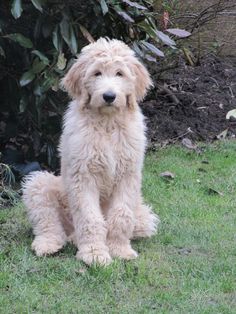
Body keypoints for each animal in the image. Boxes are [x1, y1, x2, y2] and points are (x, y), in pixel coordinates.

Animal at [22, 38, 159, 266]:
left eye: (119, 73)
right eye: (96, 73)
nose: (109, 96)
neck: (107, 123)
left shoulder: (128, 174)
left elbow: (121, 214)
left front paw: (119, 249)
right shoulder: (83, 175)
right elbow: (89, 217)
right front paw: (94, 253)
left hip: (144, 214)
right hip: (41, 184)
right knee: (48, 222)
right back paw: (49, 244)